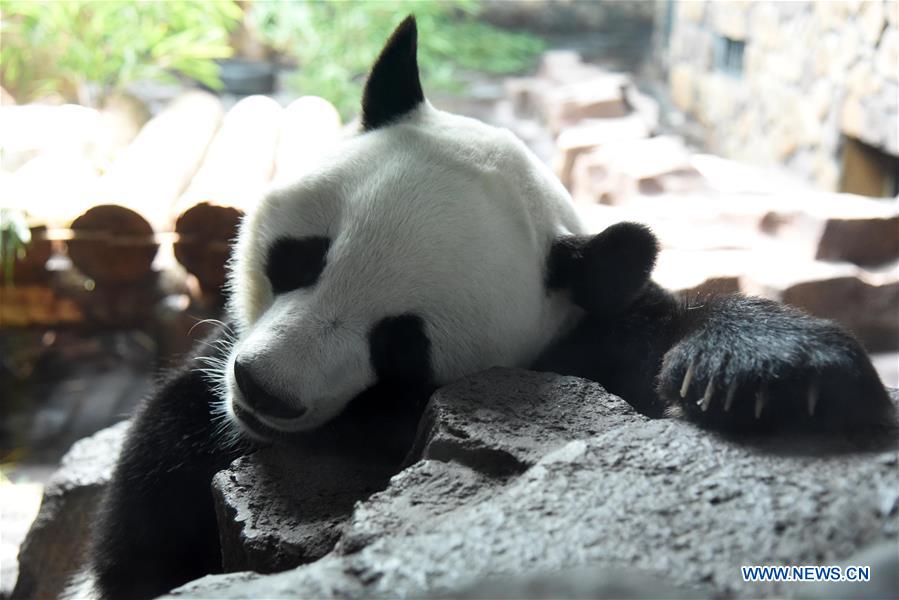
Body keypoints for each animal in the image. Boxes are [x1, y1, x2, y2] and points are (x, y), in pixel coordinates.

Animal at [86, 16, 895, 600]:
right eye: (301, 257)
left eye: (400, 343)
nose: (267, 391)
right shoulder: (207, 396)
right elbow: (152, 503)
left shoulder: (584, 331)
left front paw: (776, 375)